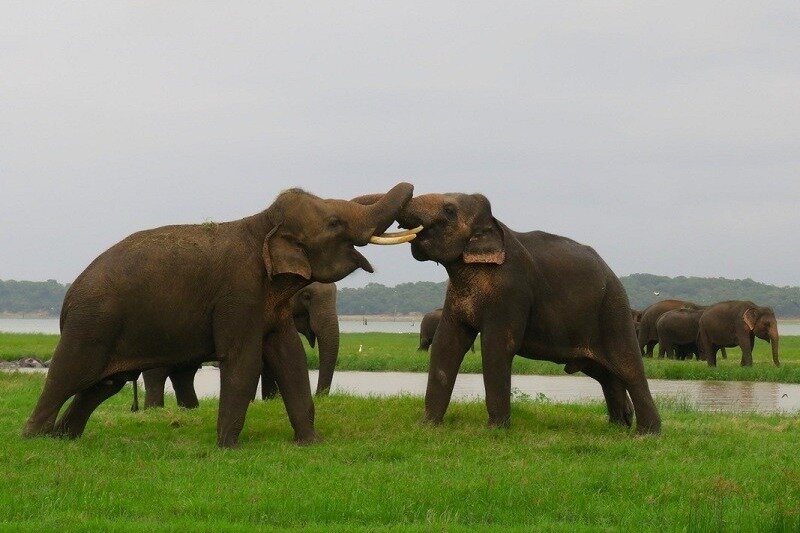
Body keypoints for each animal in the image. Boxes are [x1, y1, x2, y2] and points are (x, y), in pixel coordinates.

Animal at [21, 181, 416, 446]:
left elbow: (290, 358)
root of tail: (68, 297)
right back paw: (34, 439)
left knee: (103, 385)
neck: (261, 223)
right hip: (92, 323)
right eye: (334, 222)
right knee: (67, 374)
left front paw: (311, 444)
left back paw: (63, 439)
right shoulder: (238, 294)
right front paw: (228, 448)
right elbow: (243, 360)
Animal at [394, 193, 664, 434]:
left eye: (449, 210)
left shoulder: (511, 291)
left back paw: (646, 434)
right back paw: (618, 426)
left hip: (613, 309)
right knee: (604, 373)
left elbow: (497, 346)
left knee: (628, 366)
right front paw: (426, 427)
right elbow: (446, 344)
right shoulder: (455, 296)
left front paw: (494, 431)